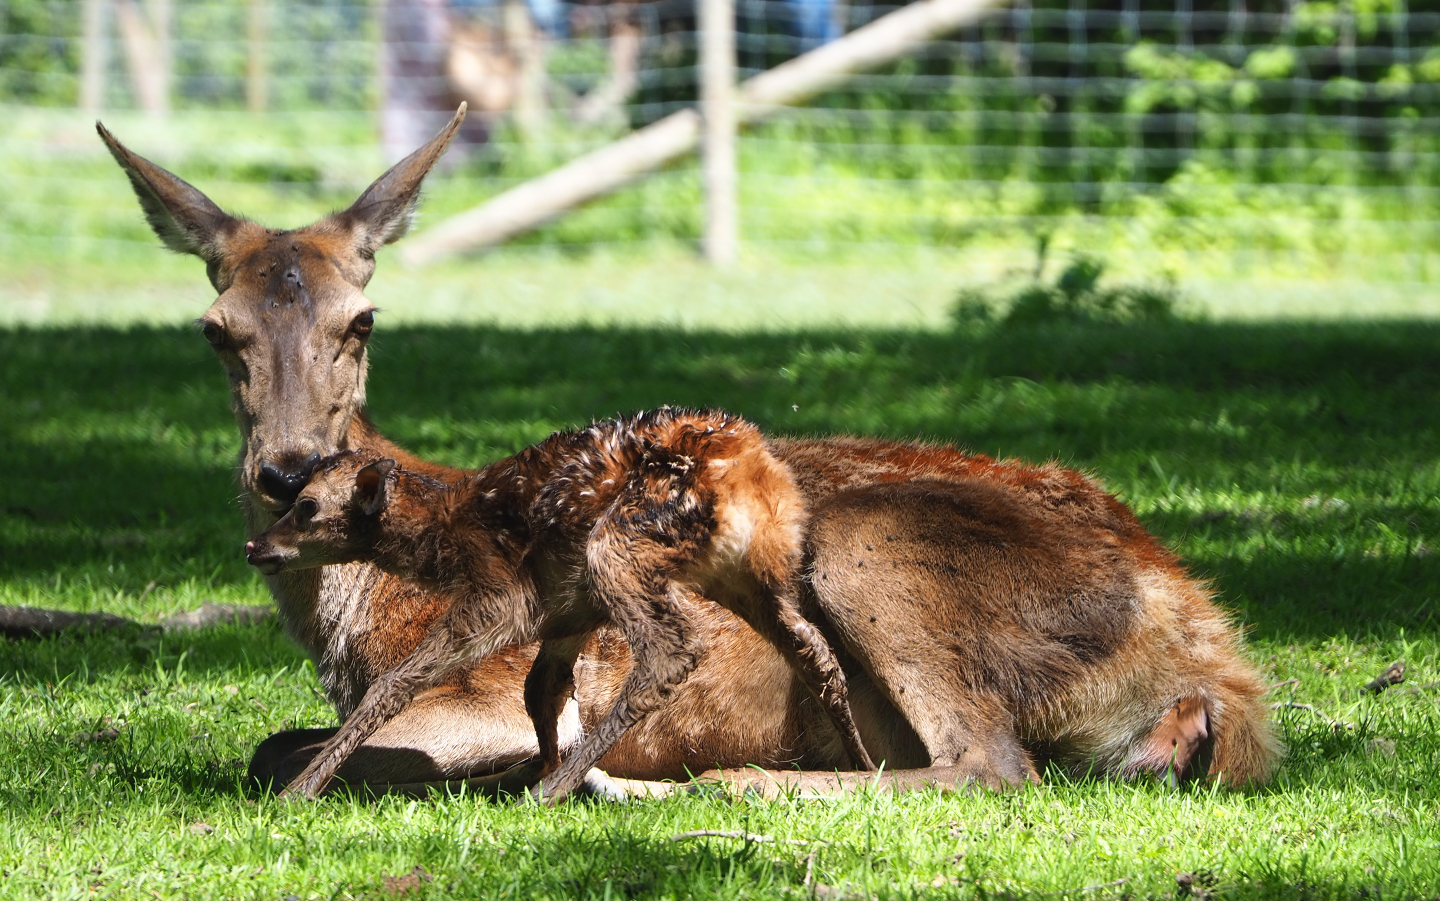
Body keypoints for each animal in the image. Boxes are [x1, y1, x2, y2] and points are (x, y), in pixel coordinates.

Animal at [243, 409, 877, 801]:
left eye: (306, 506)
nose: (255, 546)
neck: (441, 540)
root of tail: (753, 473)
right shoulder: (567, 610)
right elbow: (542, 689)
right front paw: (532, 767)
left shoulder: (500, 598)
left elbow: (394, 683)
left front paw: (300, 790)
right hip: (753, 573)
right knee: (813, 650)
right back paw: (863, 764)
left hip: (622, 546)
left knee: (670, 652)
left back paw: (557, 789)